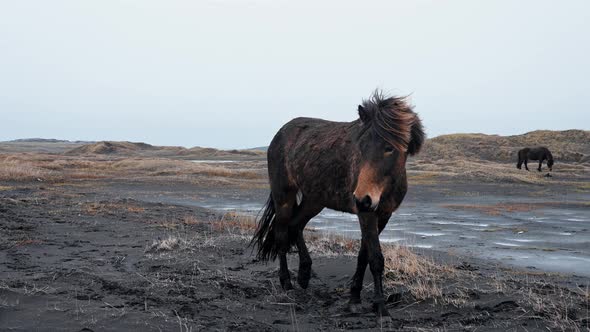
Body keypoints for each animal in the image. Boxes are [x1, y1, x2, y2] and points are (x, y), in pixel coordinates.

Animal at [251, 90, 426, 316]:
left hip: (314, 200)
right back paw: (287, 283)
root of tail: (279, 134)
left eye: (389, 148)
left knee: (295, 225)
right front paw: (380, 308)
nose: (361, 198)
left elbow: (364, 256)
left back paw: (304, 275)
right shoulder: (366, 213)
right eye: (361, 147)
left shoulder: (383, 214)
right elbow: (376, 259)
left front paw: (355, 298)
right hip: (284, 197)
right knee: (282, 234)